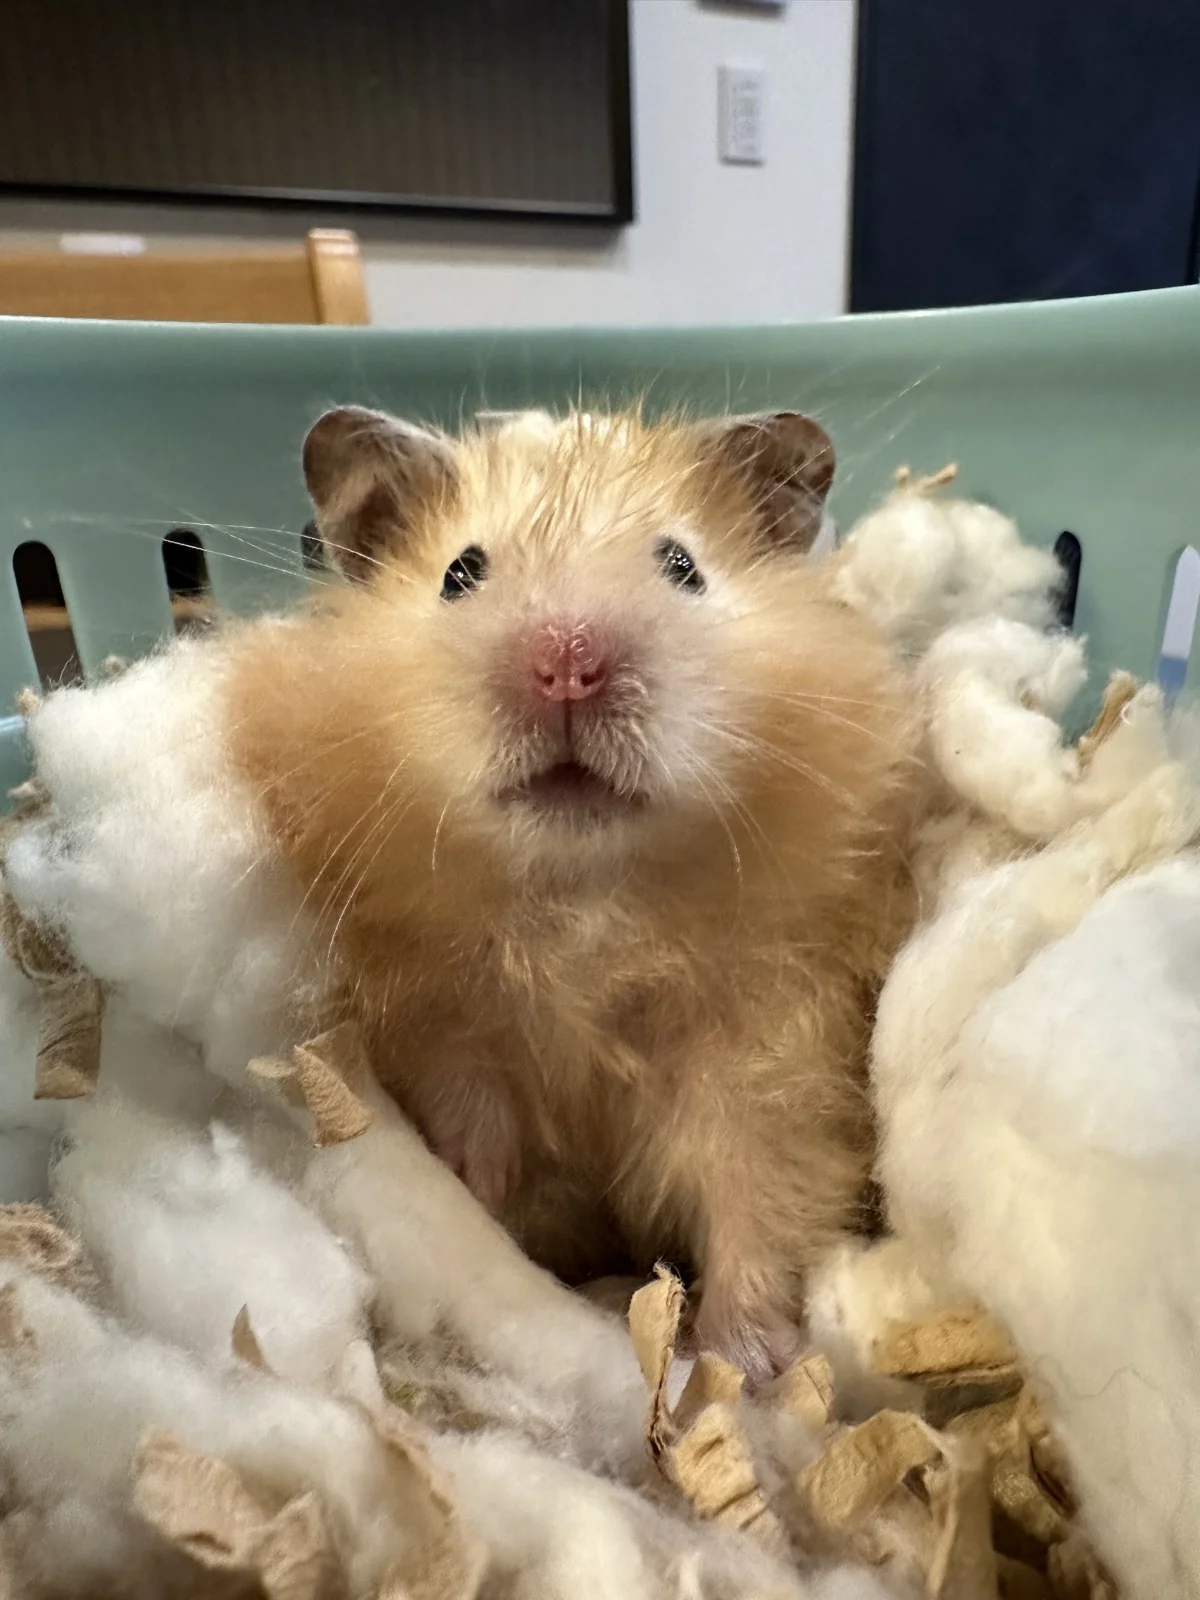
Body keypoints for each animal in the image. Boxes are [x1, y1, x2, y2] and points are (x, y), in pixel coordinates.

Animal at [222, 405, 923, 1383]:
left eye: (683, 565)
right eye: (460, 572)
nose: (567, 665)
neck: (584, 900)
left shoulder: (779, 1066)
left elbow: (758, 1206)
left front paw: (740, 1364)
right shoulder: (430, 1014)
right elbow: (466, 1100)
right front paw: (475, 1188)